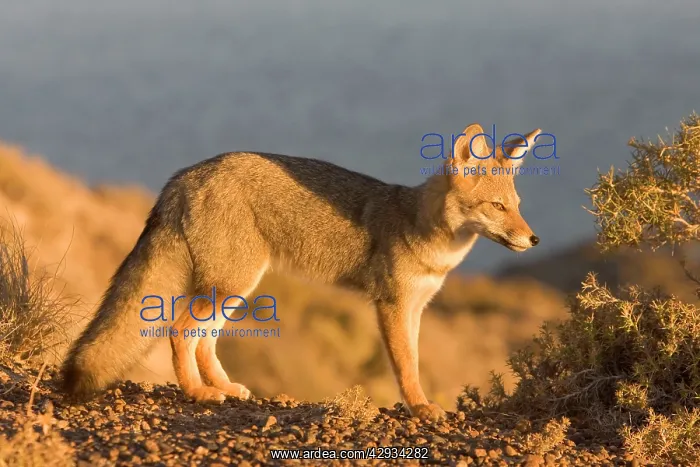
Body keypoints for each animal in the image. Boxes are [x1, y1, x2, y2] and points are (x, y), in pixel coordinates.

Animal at [60, 122, 541, 422]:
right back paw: (198, 393)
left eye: (518, 206)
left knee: (204, 340)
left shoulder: (417, 308)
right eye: (498, 207)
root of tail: (184, 175)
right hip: (230, 285)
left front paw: (420, 403)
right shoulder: (391, 304)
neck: (419, 227)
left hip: (234, 288)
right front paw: (420, 408)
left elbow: (416, 360)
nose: (534, 239)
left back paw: (224, 387)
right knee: (180, 332)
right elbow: (406, 366)